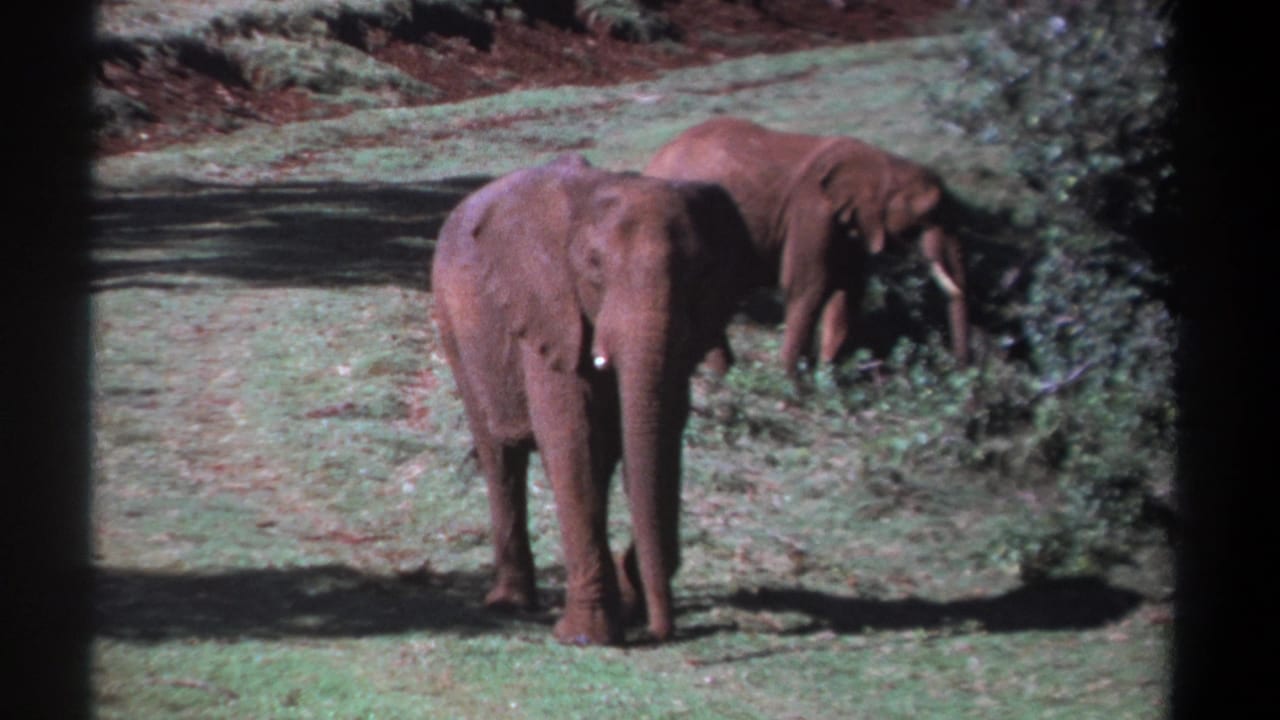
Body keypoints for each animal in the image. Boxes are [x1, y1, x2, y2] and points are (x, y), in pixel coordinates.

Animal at [431, 154, 753, 645]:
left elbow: (662, 431)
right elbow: (570, 437)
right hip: (452, 321)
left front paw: (626, 598)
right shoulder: (549, 307)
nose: (660, 630)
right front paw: (587, 637)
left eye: (700, 271)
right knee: (499, 452)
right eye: (594, 265)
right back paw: (509, 603)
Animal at [645, 117, 968, 376]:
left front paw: (830, 375)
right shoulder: (812, 211)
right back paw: (725, 377)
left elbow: (849, 289)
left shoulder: (847, 223)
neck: (882, 162)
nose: (961, 367)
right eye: (930, 212)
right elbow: (809, 284)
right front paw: (794, 382)